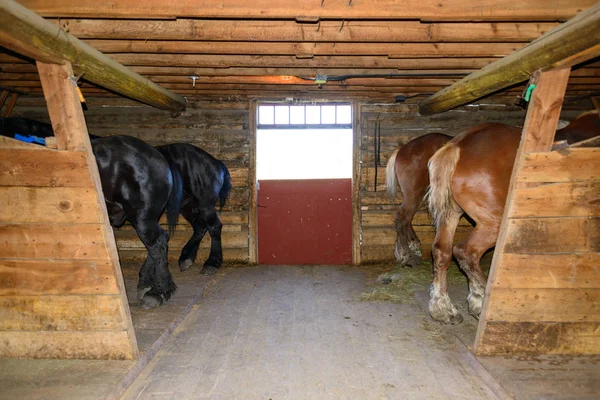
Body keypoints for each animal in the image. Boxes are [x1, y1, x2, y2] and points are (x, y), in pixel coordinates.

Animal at [157, 145, 232, 278]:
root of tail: (217, 162)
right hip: (187, 206)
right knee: (200, 227)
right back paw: (186, 258)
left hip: (205, 205)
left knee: (214, 227)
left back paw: (211, 264)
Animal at [384, 133, 450, 268]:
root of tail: (402, 149)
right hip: (414, 195)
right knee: (402, 217)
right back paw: (406, 255)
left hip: (418, 195)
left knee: (407, 219)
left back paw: (413, 250)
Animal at [426, 110, 600, 324]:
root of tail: (459, 145)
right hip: (494, 224)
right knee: (466, 253)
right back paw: (483, 300)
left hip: (451, 213)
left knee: (442, 251)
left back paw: (444, 308)